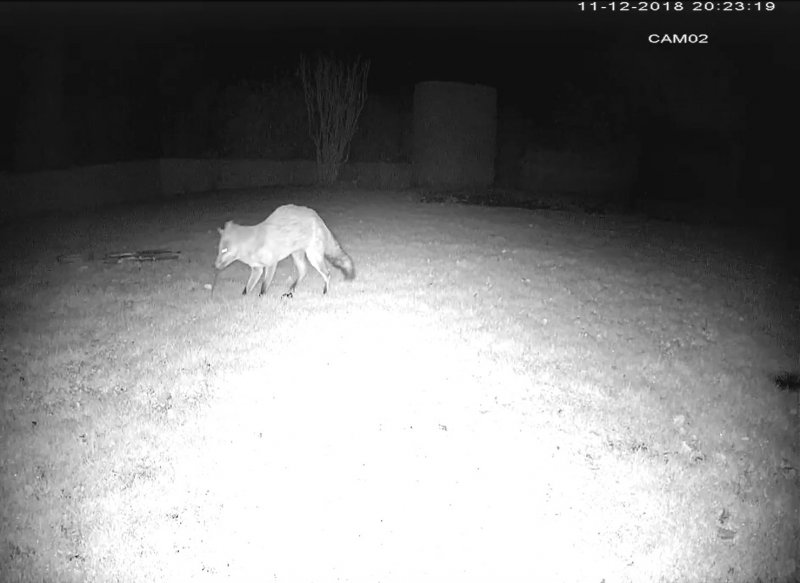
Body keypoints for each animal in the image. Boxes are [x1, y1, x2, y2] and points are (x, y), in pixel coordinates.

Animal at [214, 204, 355, 298]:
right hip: (297, 255)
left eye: (225, 250)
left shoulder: (271, 264)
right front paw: (243, 300)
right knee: (303, 271)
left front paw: (261, 299)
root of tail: (315, 215)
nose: (215, 265)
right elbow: (247, 289)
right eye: (219, 249)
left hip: (313, 257)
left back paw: (325, 292)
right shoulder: (257, 269)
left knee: (327, 273)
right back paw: (291, 290)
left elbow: (263, 287)